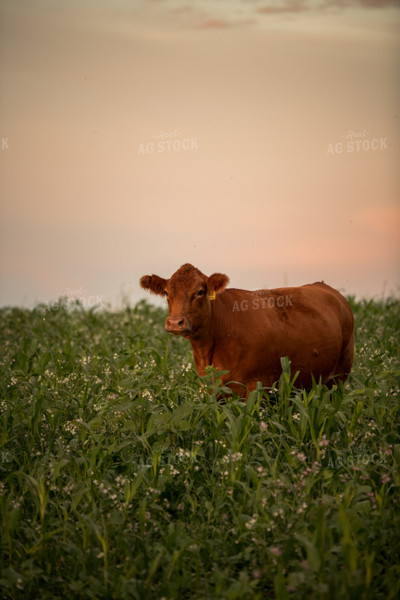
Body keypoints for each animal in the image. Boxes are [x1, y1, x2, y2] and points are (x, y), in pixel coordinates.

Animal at [140, 264, 354, 398]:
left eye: (200, 292)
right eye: (166, 292)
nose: (175, 322)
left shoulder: (258, 387)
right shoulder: (211, 388)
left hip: (339, 375)